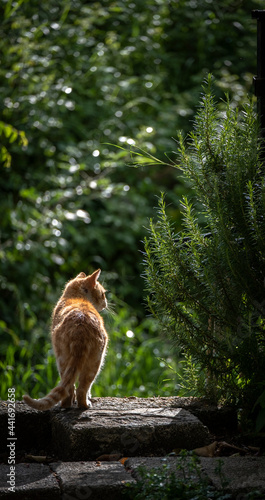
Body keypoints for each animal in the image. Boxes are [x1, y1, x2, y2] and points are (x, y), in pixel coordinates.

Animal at [23, 270, 108, 410]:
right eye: (103, 294)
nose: (106, 303)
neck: (74, 297)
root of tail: (80, 328)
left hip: (64, 360)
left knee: (71, 388)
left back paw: (67, 405)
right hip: (94, 362)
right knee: (80, 388)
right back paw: (82, 405)